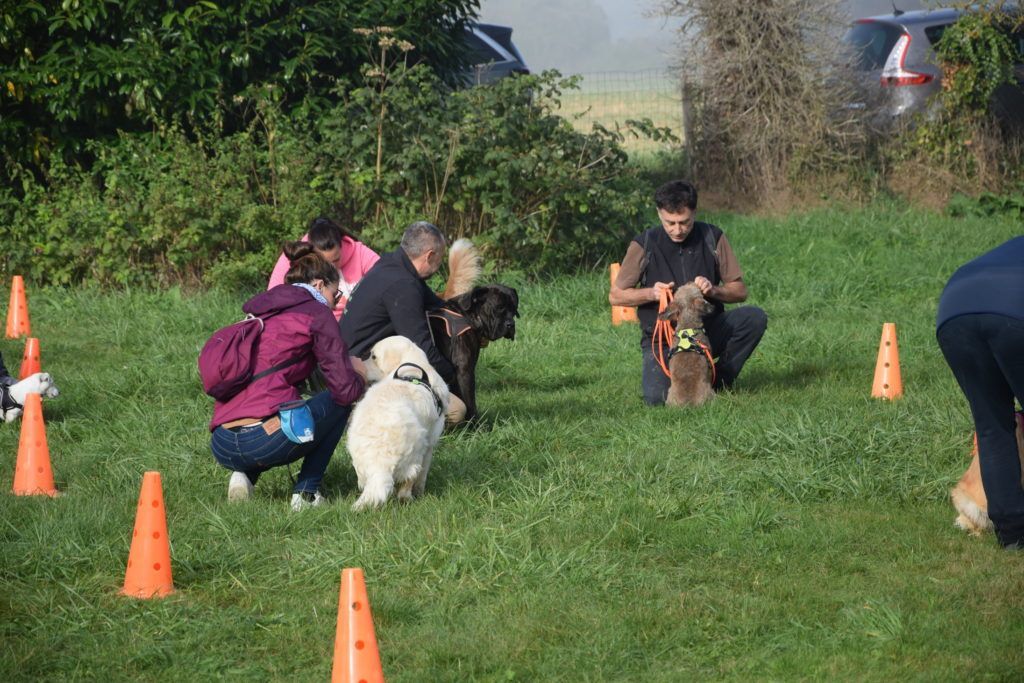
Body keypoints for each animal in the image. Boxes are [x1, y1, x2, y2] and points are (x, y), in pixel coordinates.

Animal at [346, 333, 450, 509]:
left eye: (373, 356)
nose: (359, 367)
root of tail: (379, 465)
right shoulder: (430, 442)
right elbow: (423, 475)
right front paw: (421, 492)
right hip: (417, 451)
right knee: (407, 484)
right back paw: (410, 498)